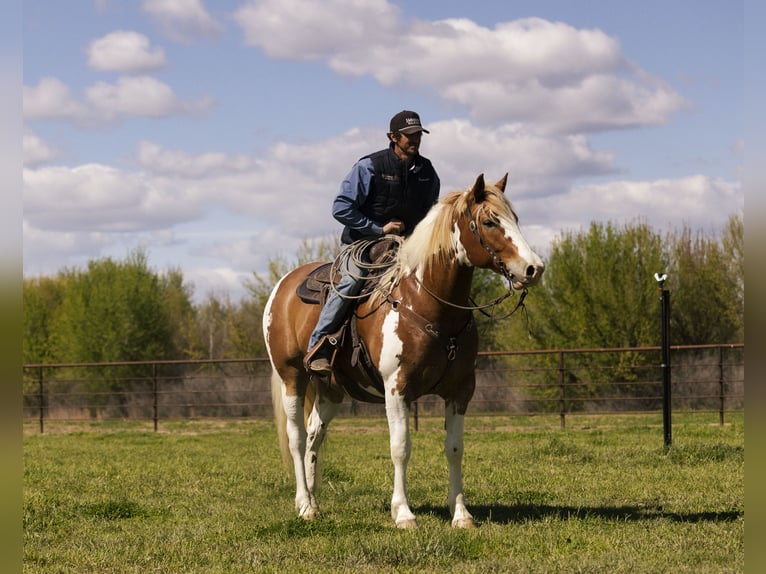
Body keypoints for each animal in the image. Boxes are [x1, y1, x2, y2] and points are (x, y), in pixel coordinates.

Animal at [263, 173, 544, 529]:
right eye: (489, 221)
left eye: (515, 219)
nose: (534, 268)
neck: (426, 303)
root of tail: (282, 286)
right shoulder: (396, 388)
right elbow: (400, 447)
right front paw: (404, 513)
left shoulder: (461, 390)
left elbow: (454, 448)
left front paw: (461, 514)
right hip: (291, 377)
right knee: (297, 437)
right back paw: (304, 504)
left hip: (330, 389)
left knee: (315, 435)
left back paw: (314, 499)